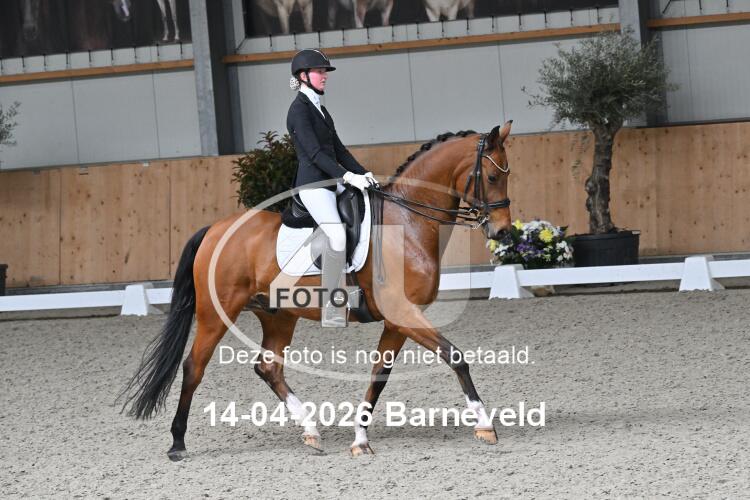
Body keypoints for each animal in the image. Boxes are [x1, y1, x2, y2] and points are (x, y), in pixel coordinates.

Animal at [120, 121, 514, 460]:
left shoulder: (397, 321)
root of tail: (214, 230)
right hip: (216, 314)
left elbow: (379, 377)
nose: (503, 232)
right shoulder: (403, 313)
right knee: (194, 366)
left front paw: (360, 440)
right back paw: (177, 443)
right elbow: (456, 357)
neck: (406, 222)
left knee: (268, 368)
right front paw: (485, 426)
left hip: (278, 316)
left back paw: (311, 431)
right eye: (493, 176)